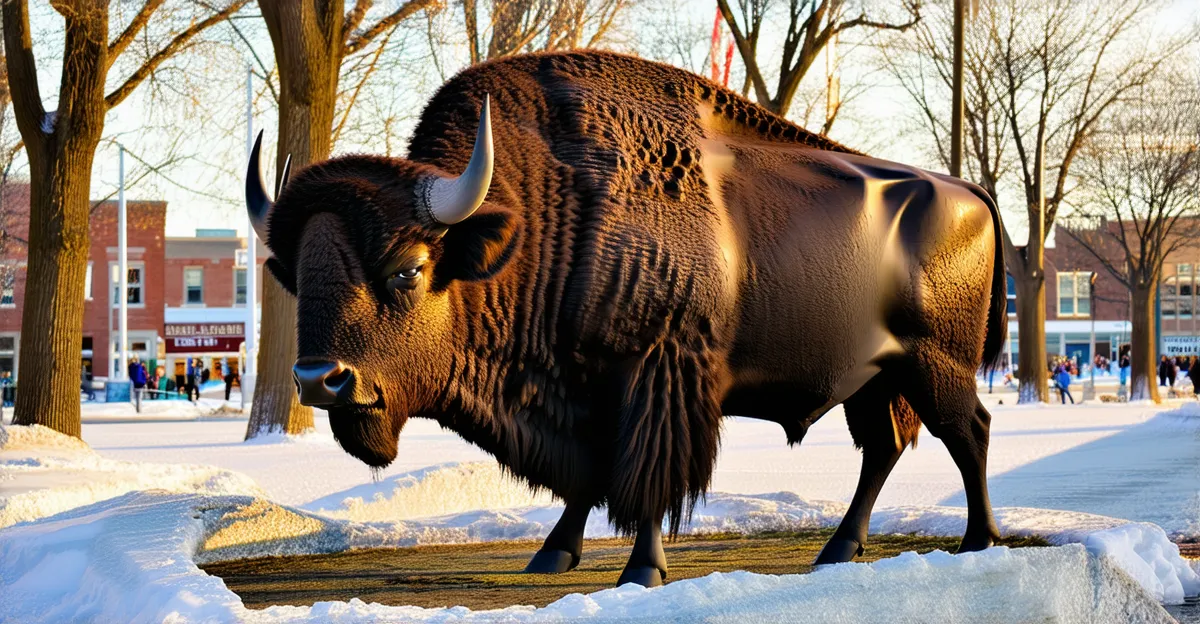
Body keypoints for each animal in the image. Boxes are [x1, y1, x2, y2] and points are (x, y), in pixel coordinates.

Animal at [246, 51, 1006, 588]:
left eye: (407, 268)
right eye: (294, 273)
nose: (319, 380)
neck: (541, 217)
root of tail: (967, 190)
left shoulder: (655, 378)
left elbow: (645, 477)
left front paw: (641, 571)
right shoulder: (580, 394)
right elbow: (588, 475)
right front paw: (552, 555)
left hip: (936, 364)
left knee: (967, 431)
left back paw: (978, 540)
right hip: (876, 378)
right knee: (884, 448)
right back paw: (837, 550)